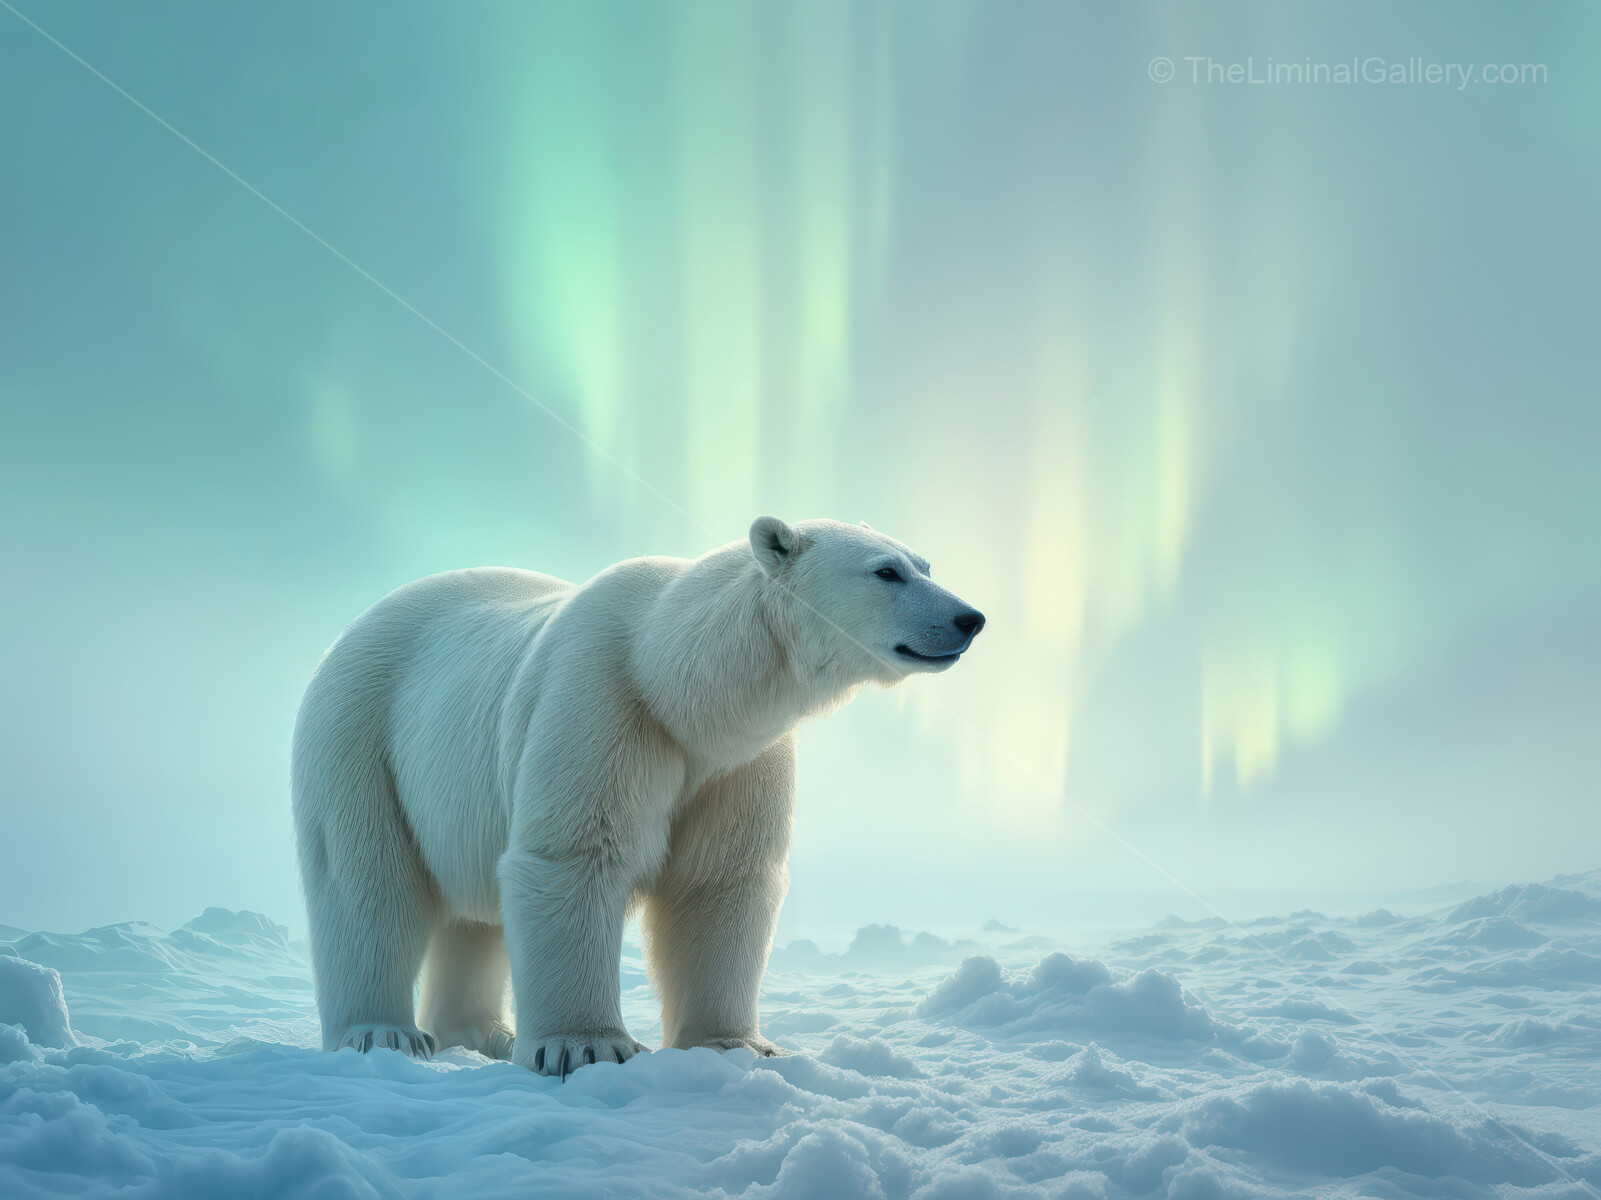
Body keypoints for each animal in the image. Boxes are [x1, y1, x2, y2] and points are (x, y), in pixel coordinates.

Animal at [291, 517, 985, 1076]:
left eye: (926, 564)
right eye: (886, 571)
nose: (970, 618)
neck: (675, 683)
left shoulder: (737, 763)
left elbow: (720, 880)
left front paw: (736, 1045)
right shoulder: (602, 704)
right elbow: (575, 857)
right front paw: (585, 1046)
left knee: (473, 912)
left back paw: (485, 1034)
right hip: (363, 732)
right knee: (366, 879)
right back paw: (383, 1032)